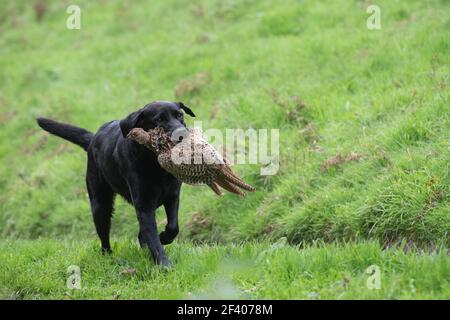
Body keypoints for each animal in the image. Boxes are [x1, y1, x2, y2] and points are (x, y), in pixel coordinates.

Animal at [37, 101, 195, 266]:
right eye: (158, 120)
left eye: (180, 115)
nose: (182, 133)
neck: (155, 166)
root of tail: (93, 138)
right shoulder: (143, 205)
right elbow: (153, 238)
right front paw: (164, 264)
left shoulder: (172, 196)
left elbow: (173, 226)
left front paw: (164, 237)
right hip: (100, 206)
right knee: (104, 238)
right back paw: (108, 257)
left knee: (141, 234)